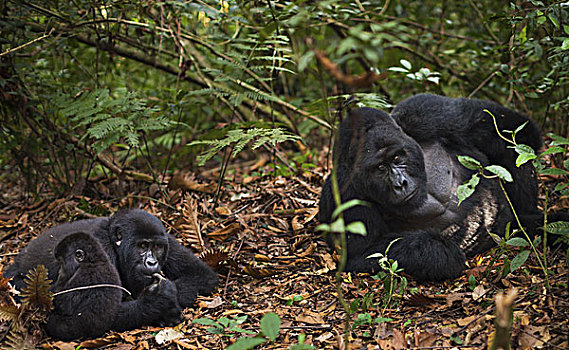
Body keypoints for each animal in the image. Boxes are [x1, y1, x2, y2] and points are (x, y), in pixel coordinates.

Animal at [3, 209, 217, 338]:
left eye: (156, 247)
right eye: (142, 246)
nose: (152, 262)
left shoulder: (168, 240)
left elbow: (202, 276)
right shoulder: (101, 250)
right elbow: (94, 319)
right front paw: (158, 301)